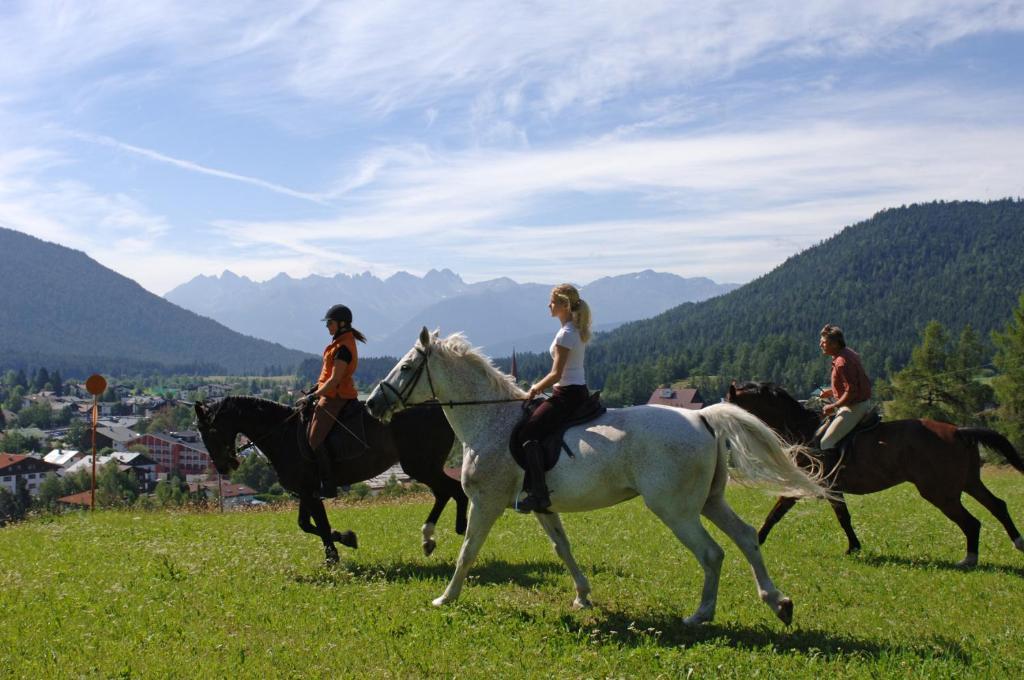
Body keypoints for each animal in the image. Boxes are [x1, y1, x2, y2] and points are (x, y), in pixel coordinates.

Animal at [193, 395, 466, 561]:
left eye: (210, 432)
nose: (224, 466)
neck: (283, 434)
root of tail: (439, 408)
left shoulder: (309, 491)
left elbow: (320, 524)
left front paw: (333, 556)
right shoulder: (306, 490)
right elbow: (307, 524)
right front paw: (346, 539)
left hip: (420, 466)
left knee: (454, 491)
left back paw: (458, 528)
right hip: (425, 467)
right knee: (445, 493)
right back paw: (431, 539)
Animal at [364, 329, 827, 626]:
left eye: (406, 366)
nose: (372, 405)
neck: (490, 420)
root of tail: (701, 417)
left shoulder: (486, 503)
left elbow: (467, 552)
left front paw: (446, 597)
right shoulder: (541, 505)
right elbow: (563, 548)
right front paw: (583, 596)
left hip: (675, 509)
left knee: (712, 553)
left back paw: (701, 615)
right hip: (709, 501)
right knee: (747, 536)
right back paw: (778, 602)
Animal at [729, 378, 1024, 565]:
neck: (803, 430)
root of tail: (960, 431)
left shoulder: (815, 483)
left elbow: (795, 513)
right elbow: (789, 513)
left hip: (940, 492)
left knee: (972, 521)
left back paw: (969, 559)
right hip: (967, 483)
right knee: (997, 505)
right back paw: (1016, 542)